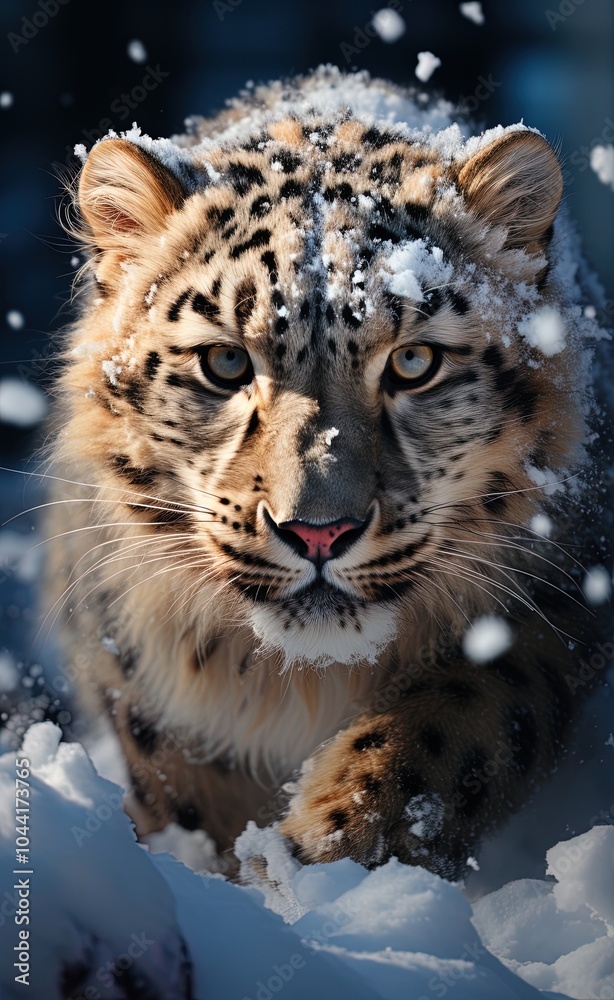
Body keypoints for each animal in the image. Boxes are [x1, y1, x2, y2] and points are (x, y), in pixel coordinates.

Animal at [45, 66, 610, 881]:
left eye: (415, 361)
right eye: (225, 361)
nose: (318, 532)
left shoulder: (556, 603)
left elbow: (459, 719)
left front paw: (324, 849)